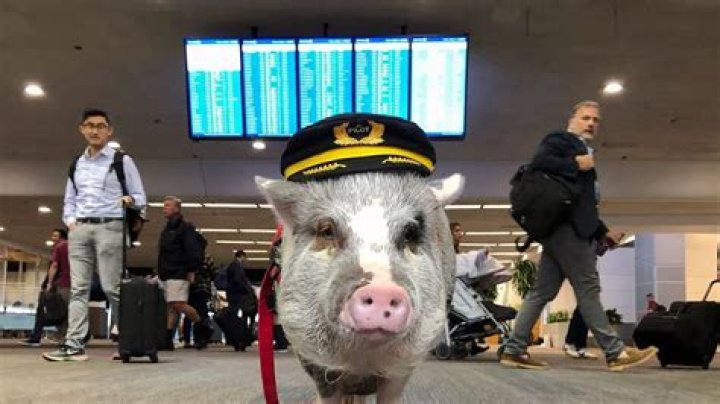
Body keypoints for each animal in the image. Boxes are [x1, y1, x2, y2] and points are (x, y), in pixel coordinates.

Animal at [257, 171, 464, 403]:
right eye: (326, 231)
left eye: (410, 234)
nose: (382, 290)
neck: (362, 361)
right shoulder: (313, 360)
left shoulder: (404, 365)